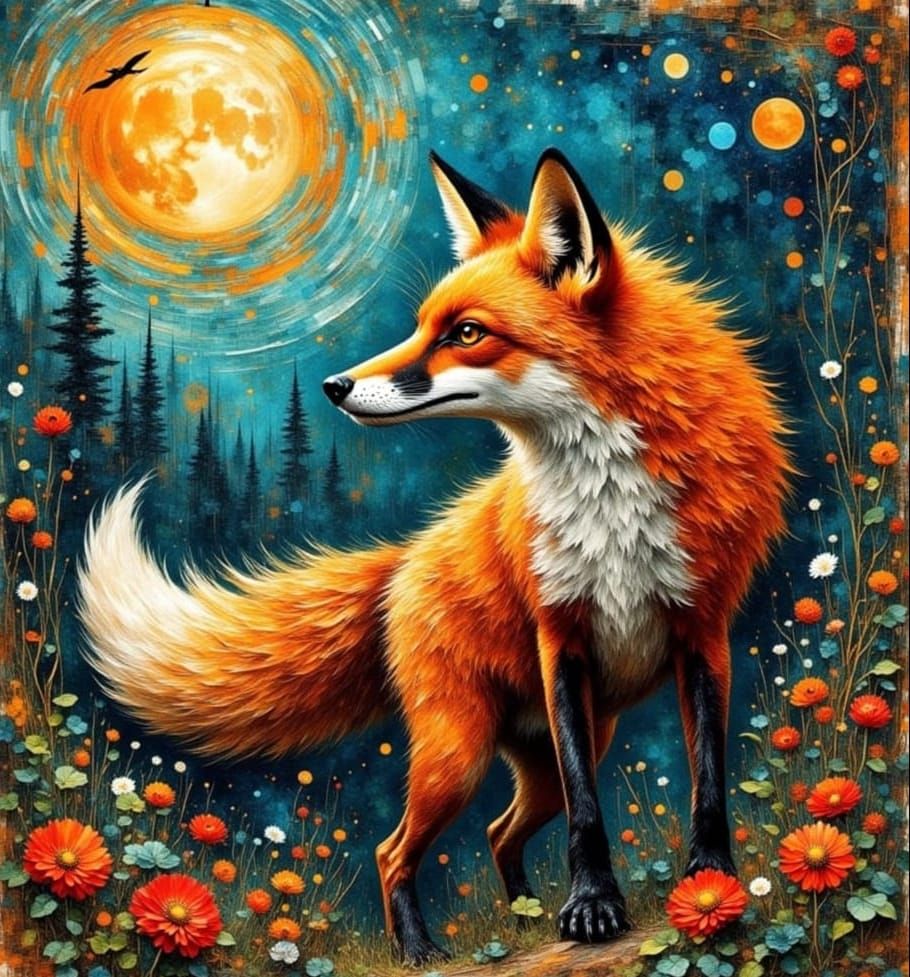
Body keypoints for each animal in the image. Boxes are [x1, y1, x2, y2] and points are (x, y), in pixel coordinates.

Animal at [78, 148, 791, 965]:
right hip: (461, 750)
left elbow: (708, 782)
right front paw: (594, 904)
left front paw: (709, 884)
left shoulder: (702, 630)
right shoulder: (561, 637)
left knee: (496, 832)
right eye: (422, 325)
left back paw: (521, 918)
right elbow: (590, 813)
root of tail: (405, 561)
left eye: (468, 332)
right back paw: (421, 951)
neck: (609, 502)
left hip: (546, 748)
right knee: (394, 850)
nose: (334, 385)